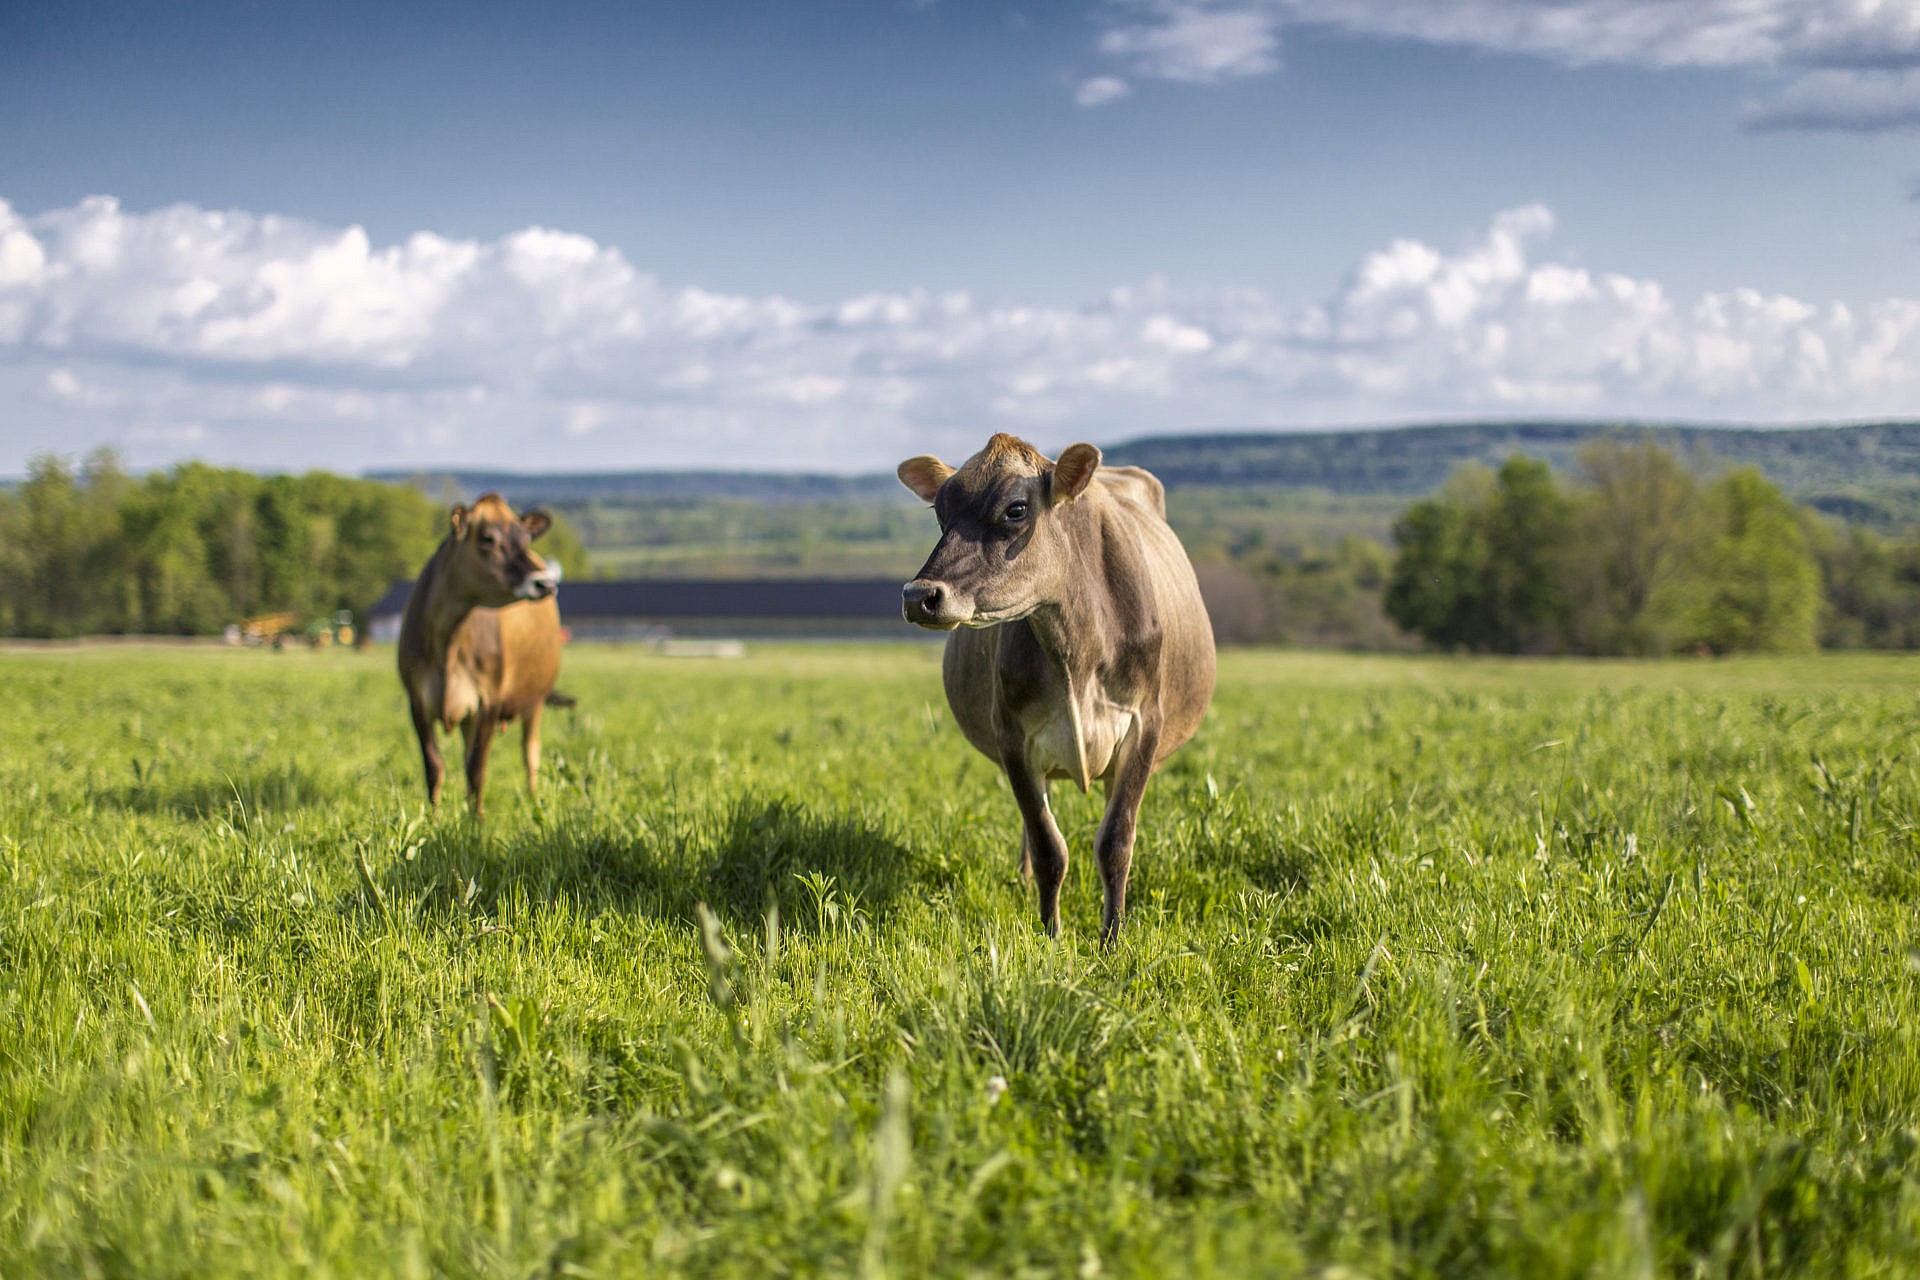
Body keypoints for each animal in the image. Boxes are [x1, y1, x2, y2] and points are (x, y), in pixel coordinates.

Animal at [398, 493, 564, 815]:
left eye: (525, 539)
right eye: (487, 538)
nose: (545, 582)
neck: (447, 643)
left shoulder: (489, 701)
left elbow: (477, 769)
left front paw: (476, 823)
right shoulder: (417, 702)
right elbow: (434, 767)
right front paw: (434, 818)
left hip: (534, 699)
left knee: (530, 752)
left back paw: (533, 799)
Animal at [897, 433, 1216, 944]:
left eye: (1016, 509)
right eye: (940, 511)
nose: (918, 596)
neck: (1077, 652)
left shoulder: (1145, 723)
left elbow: (1116, 840)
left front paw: (1112, 937)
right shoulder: (1012, 735)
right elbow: (1049, 845)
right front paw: (1051, 933)